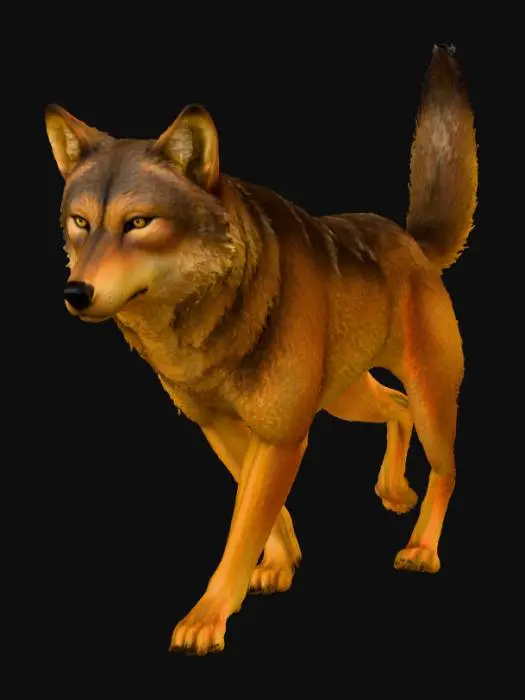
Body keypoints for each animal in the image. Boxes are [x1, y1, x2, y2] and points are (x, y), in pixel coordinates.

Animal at [45, 45, 477, 655]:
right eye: (81, 223)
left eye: (138, 223)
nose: (75, 293)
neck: (203, 330)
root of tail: (412, 243)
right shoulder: (223, 427)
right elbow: (264, 514)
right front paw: (280, 564)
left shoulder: (282, 433)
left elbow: (244, 524)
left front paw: (207, 617)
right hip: (344, 398)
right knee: (396, 407)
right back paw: (393, 489)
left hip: (430, 398)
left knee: (446, 467)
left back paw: (421, 548)